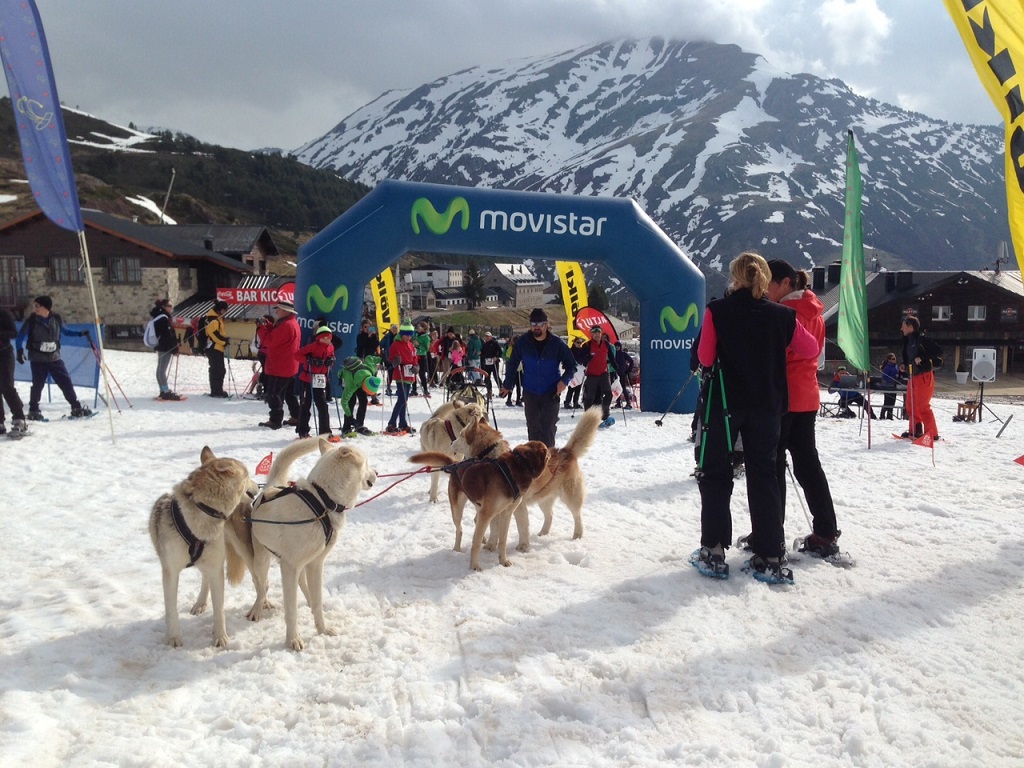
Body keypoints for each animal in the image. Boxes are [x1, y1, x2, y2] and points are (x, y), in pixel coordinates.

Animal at [149, 444, 258, 651]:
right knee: (205, 578)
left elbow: (219, 609)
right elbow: (171, 609)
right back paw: (199, 603)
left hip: (242, 552)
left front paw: (220, 637)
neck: (203, 510)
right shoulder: (170, 571)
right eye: (248, 474)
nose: (257, 486)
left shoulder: (216, 567)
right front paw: (173, 638)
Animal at [232, 438, 376, 651]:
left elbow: (317, 601)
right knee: (262, 586)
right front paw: (293, 639)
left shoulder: (316, 564)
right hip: (262, 559)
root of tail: (270, 487)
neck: (322, 502)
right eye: (366, 463)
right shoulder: (289, 566)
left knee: (301, 585)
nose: (377, 472)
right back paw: (257, 608)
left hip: (301, 564)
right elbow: (291, 610)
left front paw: (322, 629)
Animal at [409, 438, 552, 573]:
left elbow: (502, 541)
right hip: (457, 510)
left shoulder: (506, 513)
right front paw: (474, 566)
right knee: (459, 530)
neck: (516, 467)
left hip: (480, 508)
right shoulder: (486, 513)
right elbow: (476, 543)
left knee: (475, 522)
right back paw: (457, 549)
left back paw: (483, 539)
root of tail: (455, 465)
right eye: (548, 455)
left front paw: (503, 561)